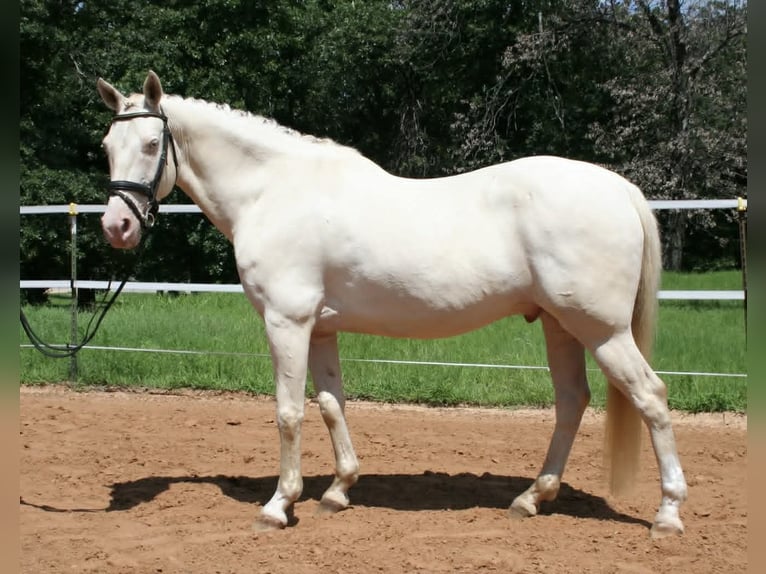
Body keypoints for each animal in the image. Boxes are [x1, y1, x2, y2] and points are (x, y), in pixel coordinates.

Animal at [96, 71, 686, 538]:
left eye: (151, 143)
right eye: (106, 145)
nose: (117, 226)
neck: (273, 190)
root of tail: (619, 189)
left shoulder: (288, 322)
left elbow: (289, 412)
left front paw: (278, 505)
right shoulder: (321, 328)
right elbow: (331, 404)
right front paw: (338, 490)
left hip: (603, 331)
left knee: (652, 397)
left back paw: (668, 515)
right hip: (560, 325)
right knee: (571, 401)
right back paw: (530, 499)